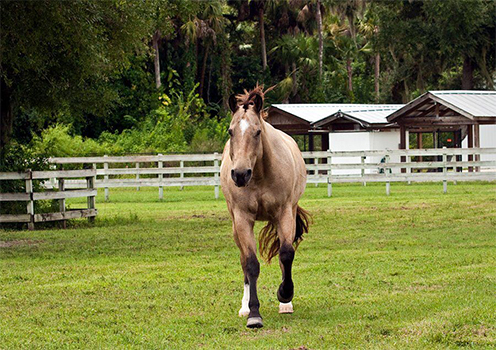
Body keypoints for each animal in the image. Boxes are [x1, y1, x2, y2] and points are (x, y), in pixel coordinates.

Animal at [221, 85, 310, 328]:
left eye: (257, 132)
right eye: (231, 132)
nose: (240, 174)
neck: (260, 175)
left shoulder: (284, 213)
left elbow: (286, 254)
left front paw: (285, 295)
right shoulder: (242, 219)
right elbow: (251, 264)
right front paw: (253, 314)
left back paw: (285, 304)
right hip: (235, 227)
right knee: (243, 261)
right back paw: (244, 307)